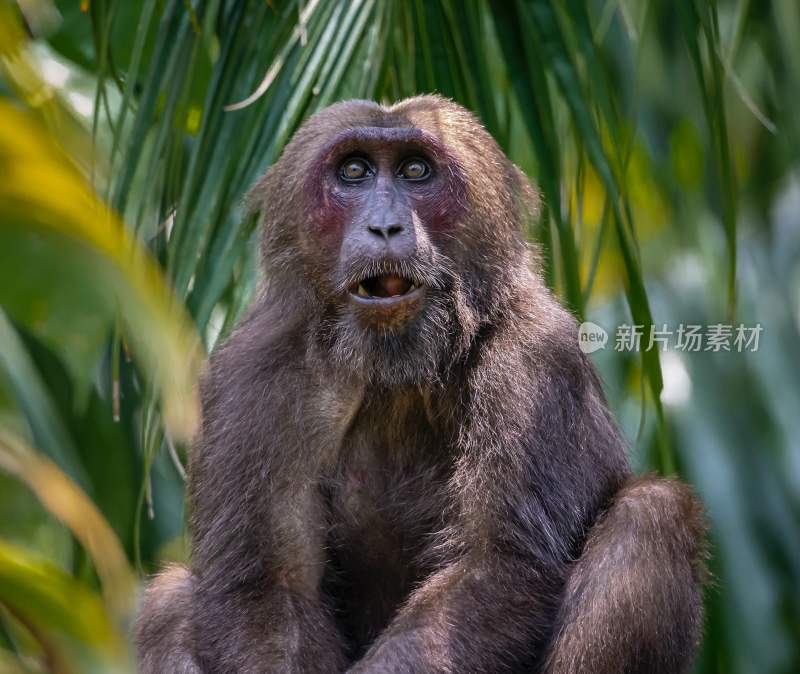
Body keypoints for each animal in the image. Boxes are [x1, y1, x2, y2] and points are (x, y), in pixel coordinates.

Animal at [136, 96, 708, 672]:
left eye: (415, 171)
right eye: (354, 171)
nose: (385, 226)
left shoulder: (535, 359)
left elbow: (494, 567)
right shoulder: (254, 375)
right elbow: (268, 588)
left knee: (649, 516)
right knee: (169, 602)